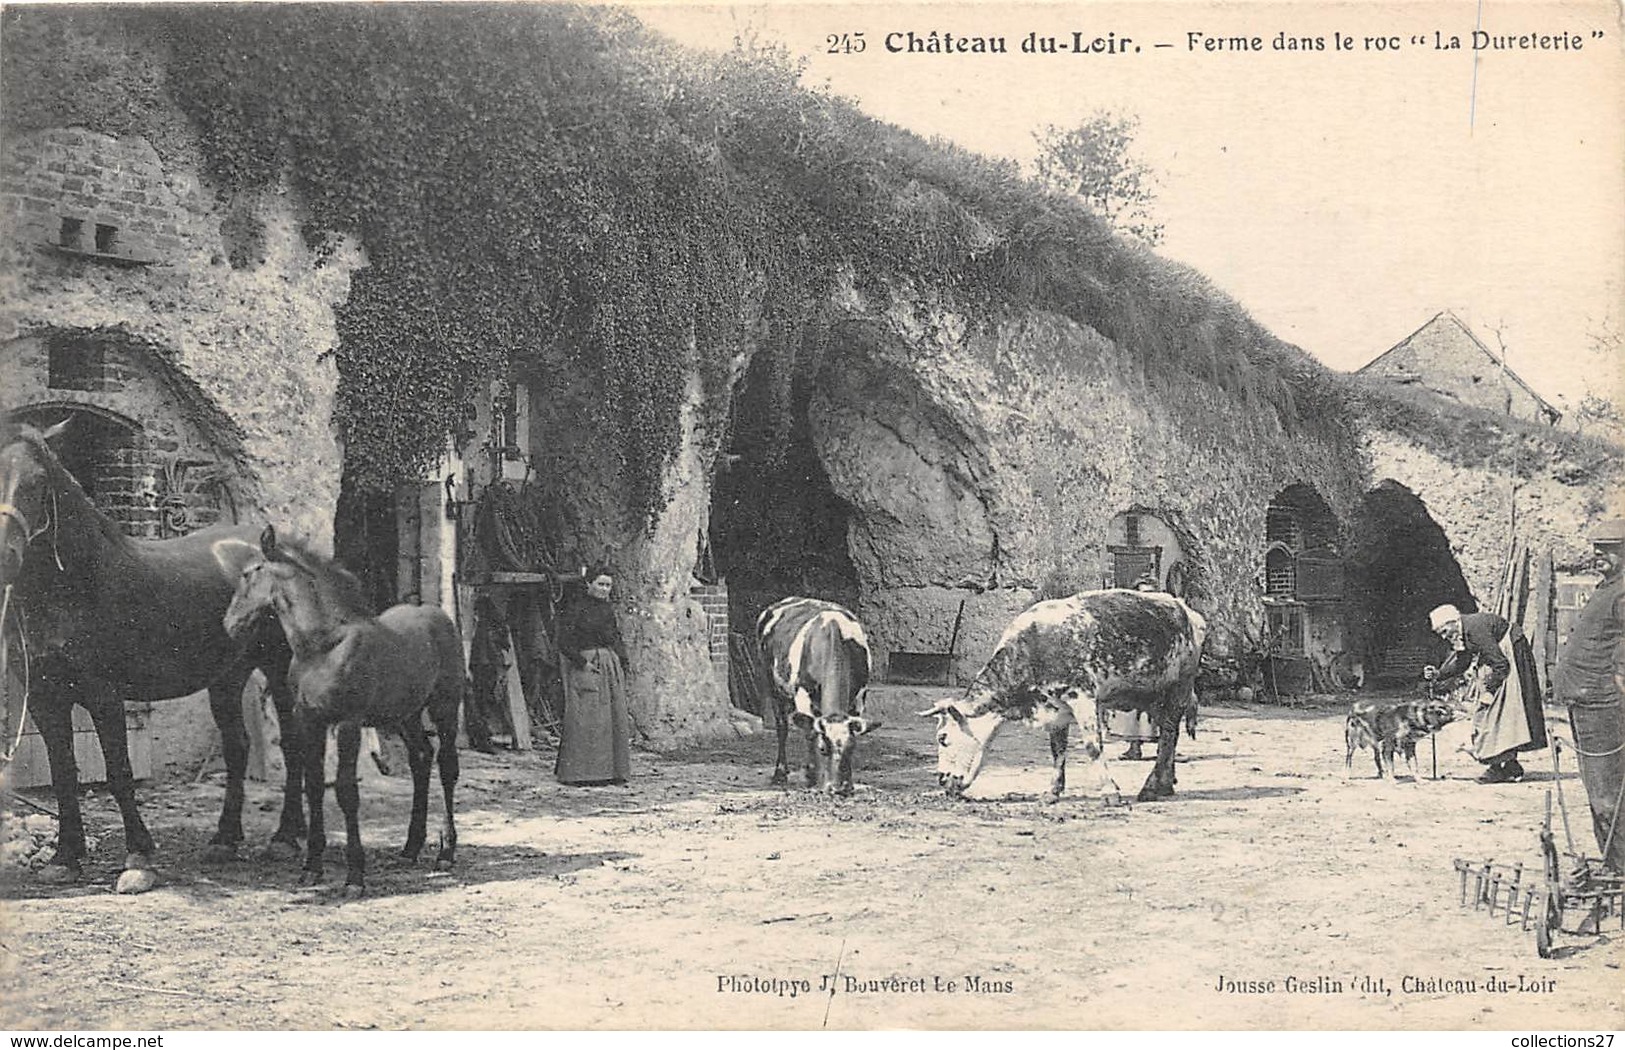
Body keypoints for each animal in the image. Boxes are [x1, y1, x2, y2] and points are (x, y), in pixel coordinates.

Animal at [0, 422, 303, 890]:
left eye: (37, 483)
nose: (3, 555)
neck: (76, 586)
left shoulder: (104, 695)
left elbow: (119, 772)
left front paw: (139, 858)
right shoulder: (45, 699)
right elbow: (64, 772)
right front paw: (66, 857)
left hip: (277, 665)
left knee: (292, 744)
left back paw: (286, 838)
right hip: (228, 675)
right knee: (237, 746)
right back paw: (224, 841)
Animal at [221, 526, 464, 897]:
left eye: (248, 574)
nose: (229, 624)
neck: (323, 646)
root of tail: (441, 617)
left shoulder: (348, 722)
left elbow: (347, 792)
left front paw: (354, 877)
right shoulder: (310, 720)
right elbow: (314, 785)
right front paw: (312, 867)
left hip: (445, 706)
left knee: (447, 767)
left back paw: (446, 853)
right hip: (404, 714)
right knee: (421, 759)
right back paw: (411, 847)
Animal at [757, 598, 884, 793]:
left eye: (851, 748)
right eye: (823, 749)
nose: (839, 788)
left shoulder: (859, 697)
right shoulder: (803, 695)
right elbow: (810, 733)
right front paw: (812, 777)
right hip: (772, 685)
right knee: (782, 727)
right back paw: (780, 774)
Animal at [916, 591, 1209, 806]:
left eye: (943, 738)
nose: (941, 780)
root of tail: (1185, 609)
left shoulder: (1083, 697)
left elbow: (1092, 746)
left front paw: (1109, 791)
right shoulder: (1055, 708)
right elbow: (1057, 751)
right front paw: (1052, 792)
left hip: (1179, 688)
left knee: (1168, 735)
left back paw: (1151, 786)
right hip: (1153, 697)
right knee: (1169, 738)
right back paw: (1165, 784)